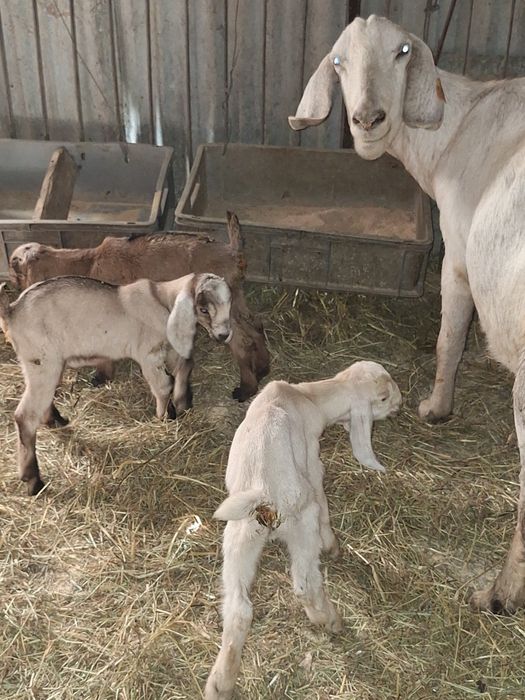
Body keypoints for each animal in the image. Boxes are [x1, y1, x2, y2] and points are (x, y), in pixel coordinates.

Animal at [0, 272, 232, 496]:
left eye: (229, 304)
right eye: (203, 309)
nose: (224, 335)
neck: (162, 300)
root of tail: (11, 311)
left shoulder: (170, 348)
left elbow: (184, 367)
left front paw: (183, 404)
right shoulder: (149, 355)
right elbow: (164, 386)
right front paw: (165, 417)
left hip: (46, 364)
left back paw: (56, 420)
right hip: (41, 361)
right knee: (25, 416)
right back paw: (33, 481)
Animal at [9, 212, 269, 402]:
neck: (86, 263)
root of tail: (232, 251)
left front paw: (101, 377)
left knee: (241, 342)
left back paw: (246, 389)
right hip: (237, 302)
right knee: (256, 326)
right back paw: (263, 368)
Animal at [205, 361, 401, 699]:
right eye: (384, 397)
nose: (401, 404)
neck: (308, 396)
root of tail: (263, 493)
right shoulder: (313, 459)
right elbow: (323, 500)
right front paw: (331, 545)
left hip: (238, 537)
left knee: (239, 608)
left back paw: (221, 682)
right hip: (301, 522)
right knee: (304, 583)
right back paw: (329, 619)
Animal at [290, 14, 525, 613]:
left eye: (402, 52)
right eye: (338, 61)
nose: (367, 119)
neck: (458, 126)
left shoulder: (457, 256)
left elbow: (449, 339)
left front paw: (436, 409)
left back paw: (499, 594)